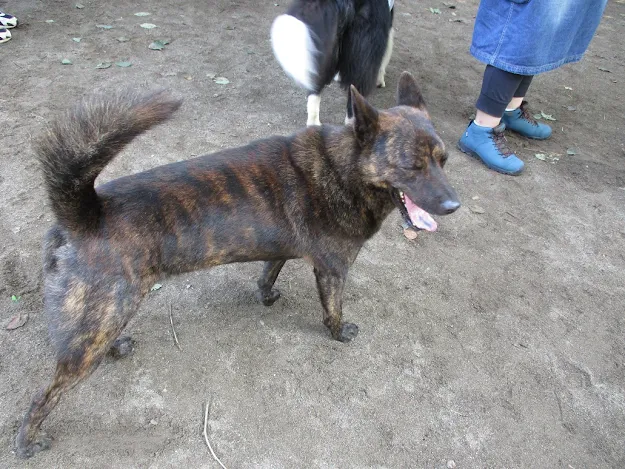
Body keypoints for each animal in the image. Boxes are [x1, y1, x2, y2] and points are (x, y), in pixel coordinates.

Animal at [15, 72, 459, 458]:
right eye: (411, 167)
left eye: (443, 160)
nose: (454, 205)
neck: (343, 168)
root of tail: (85, 213)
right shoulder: (333, 269)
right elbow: (332, 309)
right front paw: (339, 333)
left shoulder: (281, 246)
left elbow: (268, 272)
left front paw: (266, 295)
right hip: (101, 318)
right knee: (43, 395)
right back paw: (27, 442)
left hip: (104, 317)